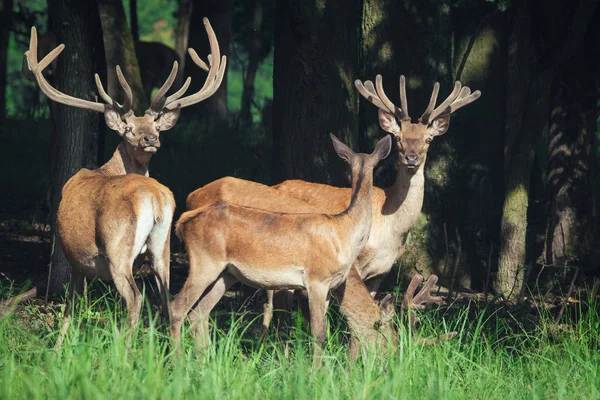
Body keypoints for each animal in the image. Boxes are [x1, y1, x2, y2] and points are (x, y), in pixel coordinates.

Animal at [22, 18, 225, 344]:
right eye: (129, 128)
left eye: (156, 125)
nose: (151, 138)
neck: (108, 168)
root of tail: (155, 199)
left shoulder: (74, 256)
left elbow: (70, 305)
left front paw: (60, 346)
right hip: (163, 248)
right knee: (167, 298)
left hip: (118, 248)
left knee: (135, 298)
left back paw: (126, 349)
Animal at [171, 134, 392, 360]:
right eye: (385, 329)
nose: (390, 354)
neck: (343, 233)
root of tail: (183, 221)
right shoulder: (316, 279)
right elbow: (318, 332)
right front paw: (316, 366)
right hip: (203, 264)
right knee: (177, 308)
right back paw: (178, 360)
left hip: (227, 273)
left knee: (198, 313)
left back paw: (203, 360)